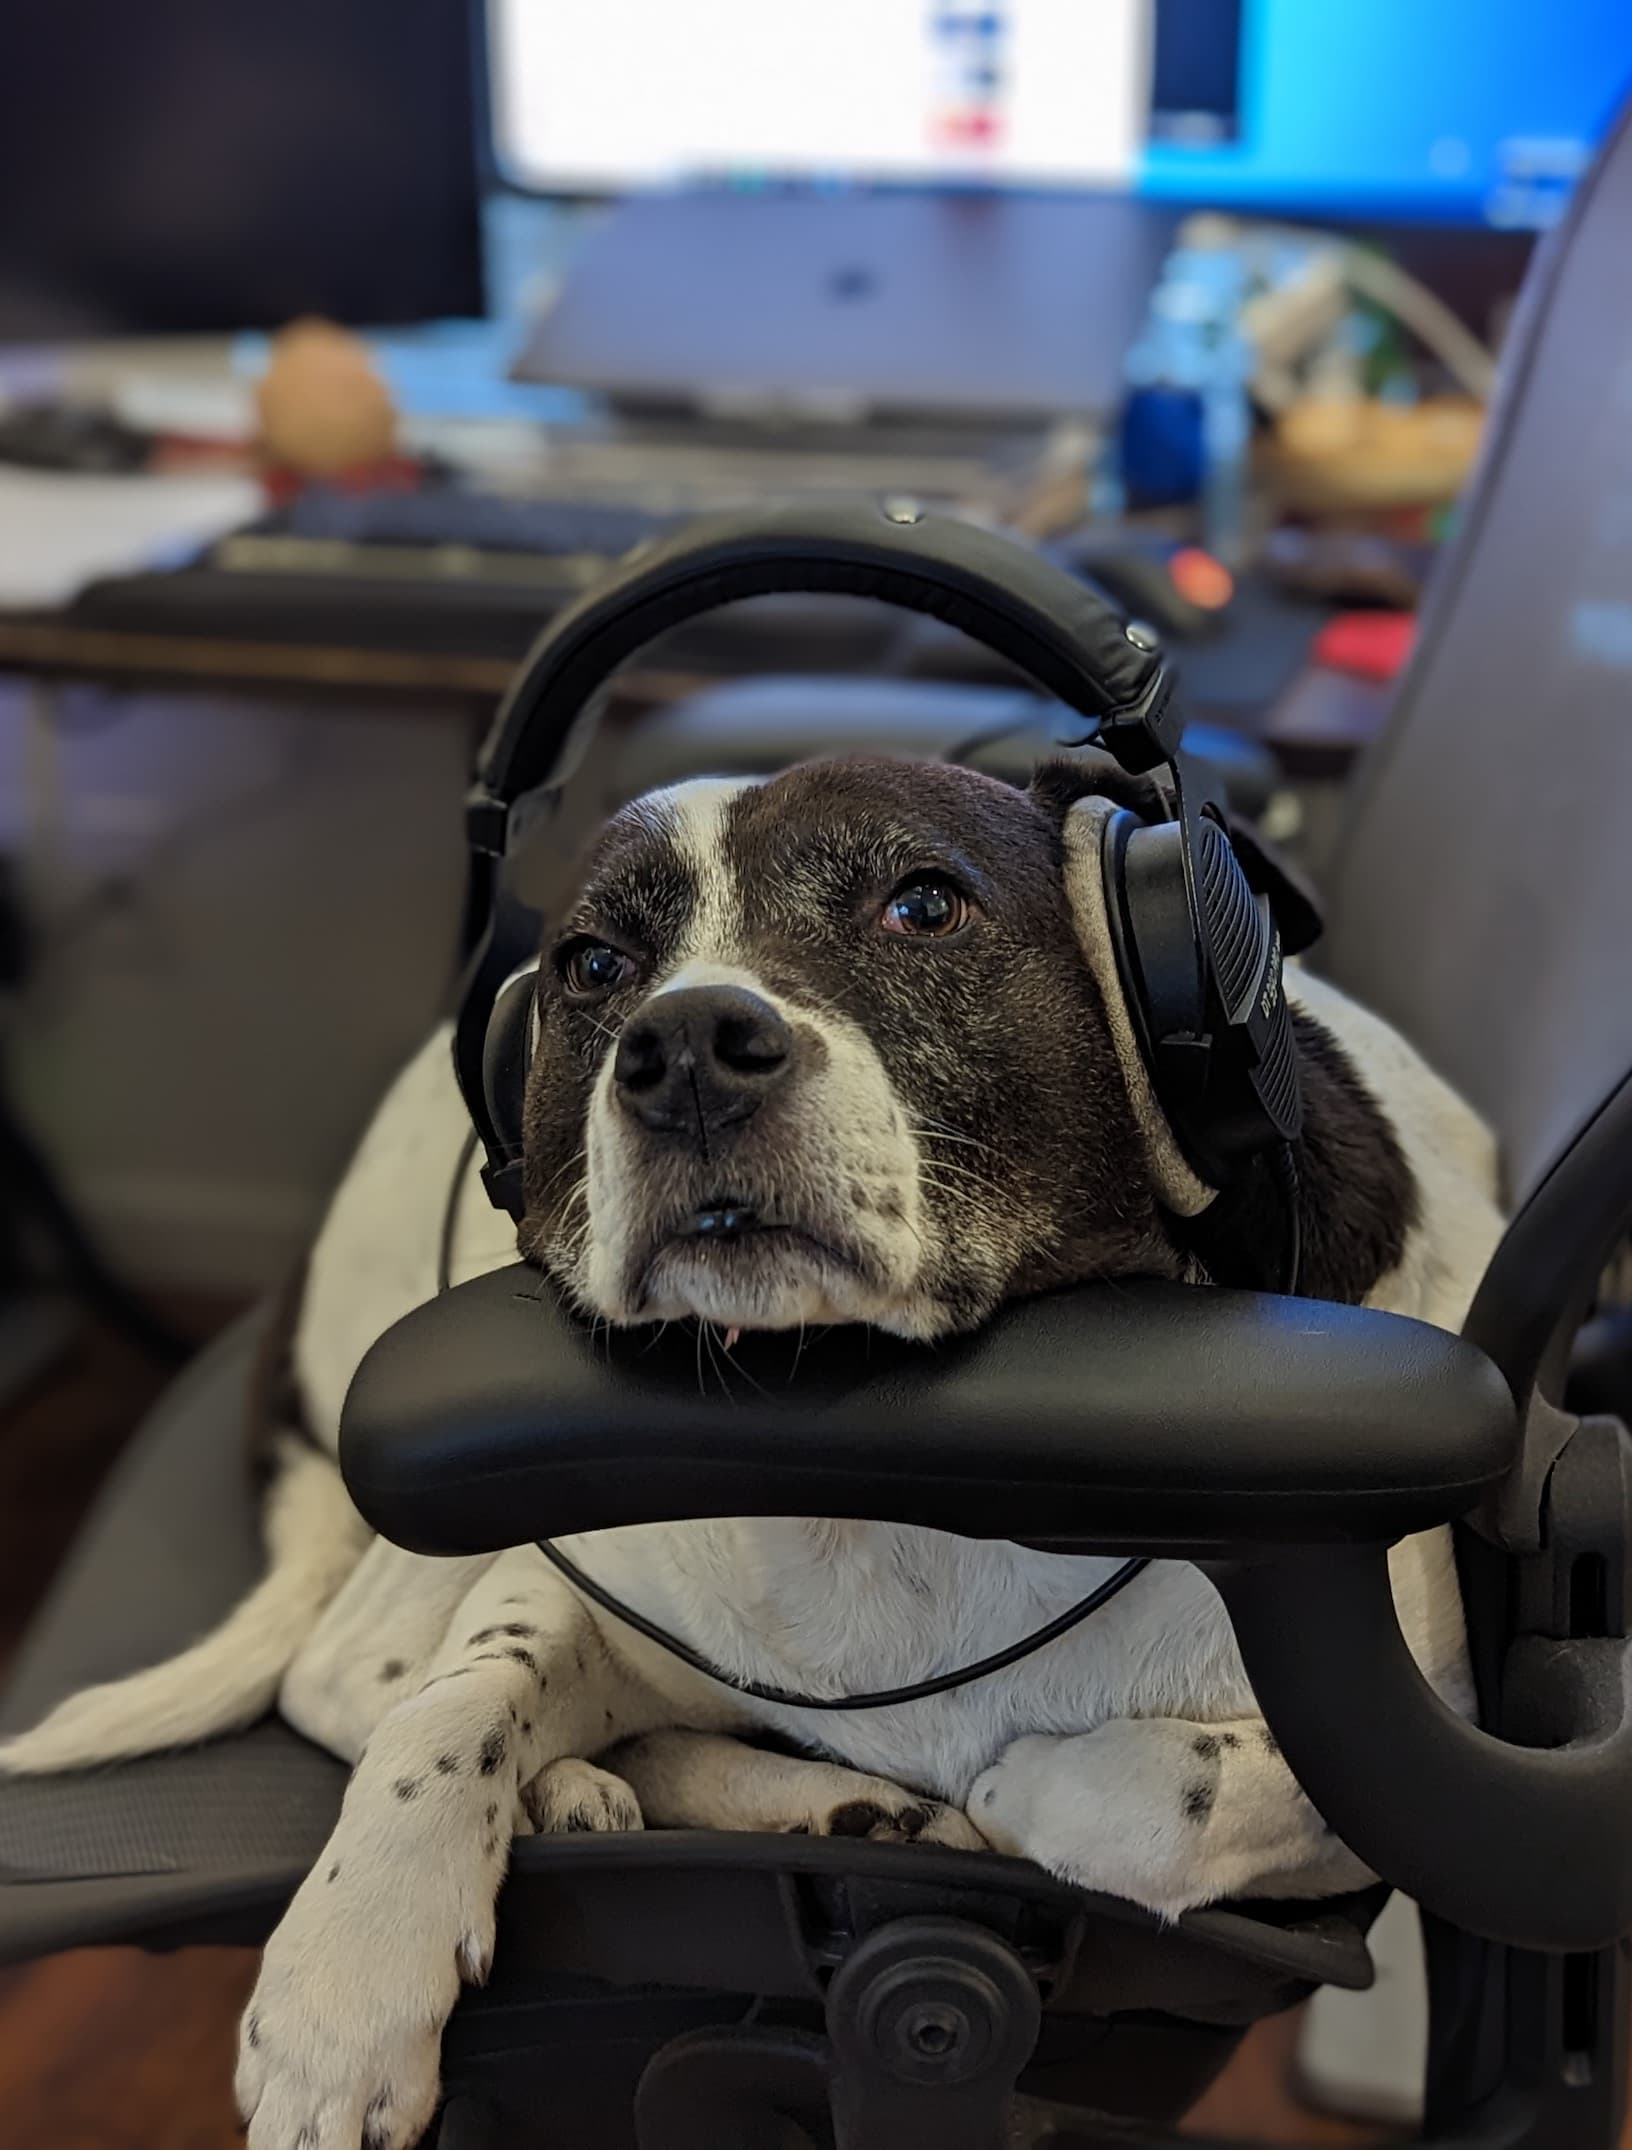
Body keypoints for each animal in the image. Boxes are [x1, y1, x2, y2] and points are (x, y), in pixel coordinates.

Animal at [0, 761, 1505, 2150]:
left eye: (922, 902)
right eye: (594, 965)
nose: (682, 1047)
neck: (903, 1458)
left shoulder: (1412, 1766)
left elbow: (1152, 1789)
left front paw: (992, 1791)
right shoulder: (574, 1572)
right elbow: (455, 1700)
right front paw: (346, 1979)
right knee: (348, 1671)